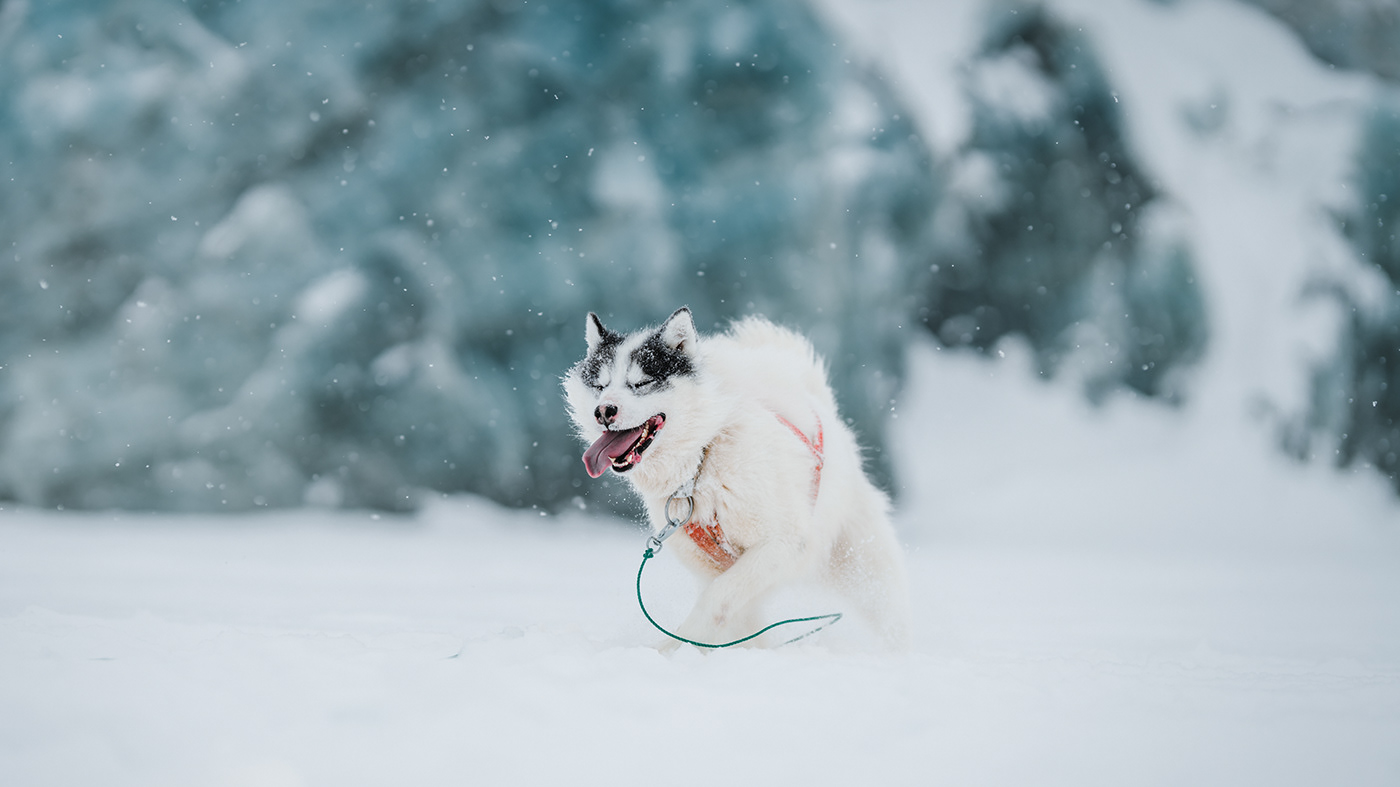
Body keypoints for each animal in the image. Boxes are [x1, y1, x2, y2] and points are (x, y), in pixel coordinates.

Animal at [562, 303, 912, 646]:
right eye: (600, 386)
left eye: (642, 383)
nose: (603, 411)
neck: (702, 461)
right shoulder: (713, 567)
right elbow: (733, 615)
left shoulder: (782, 545)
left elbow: (717, 599)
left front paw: (682, 645)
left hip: (865, 572)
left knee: (891, 620)